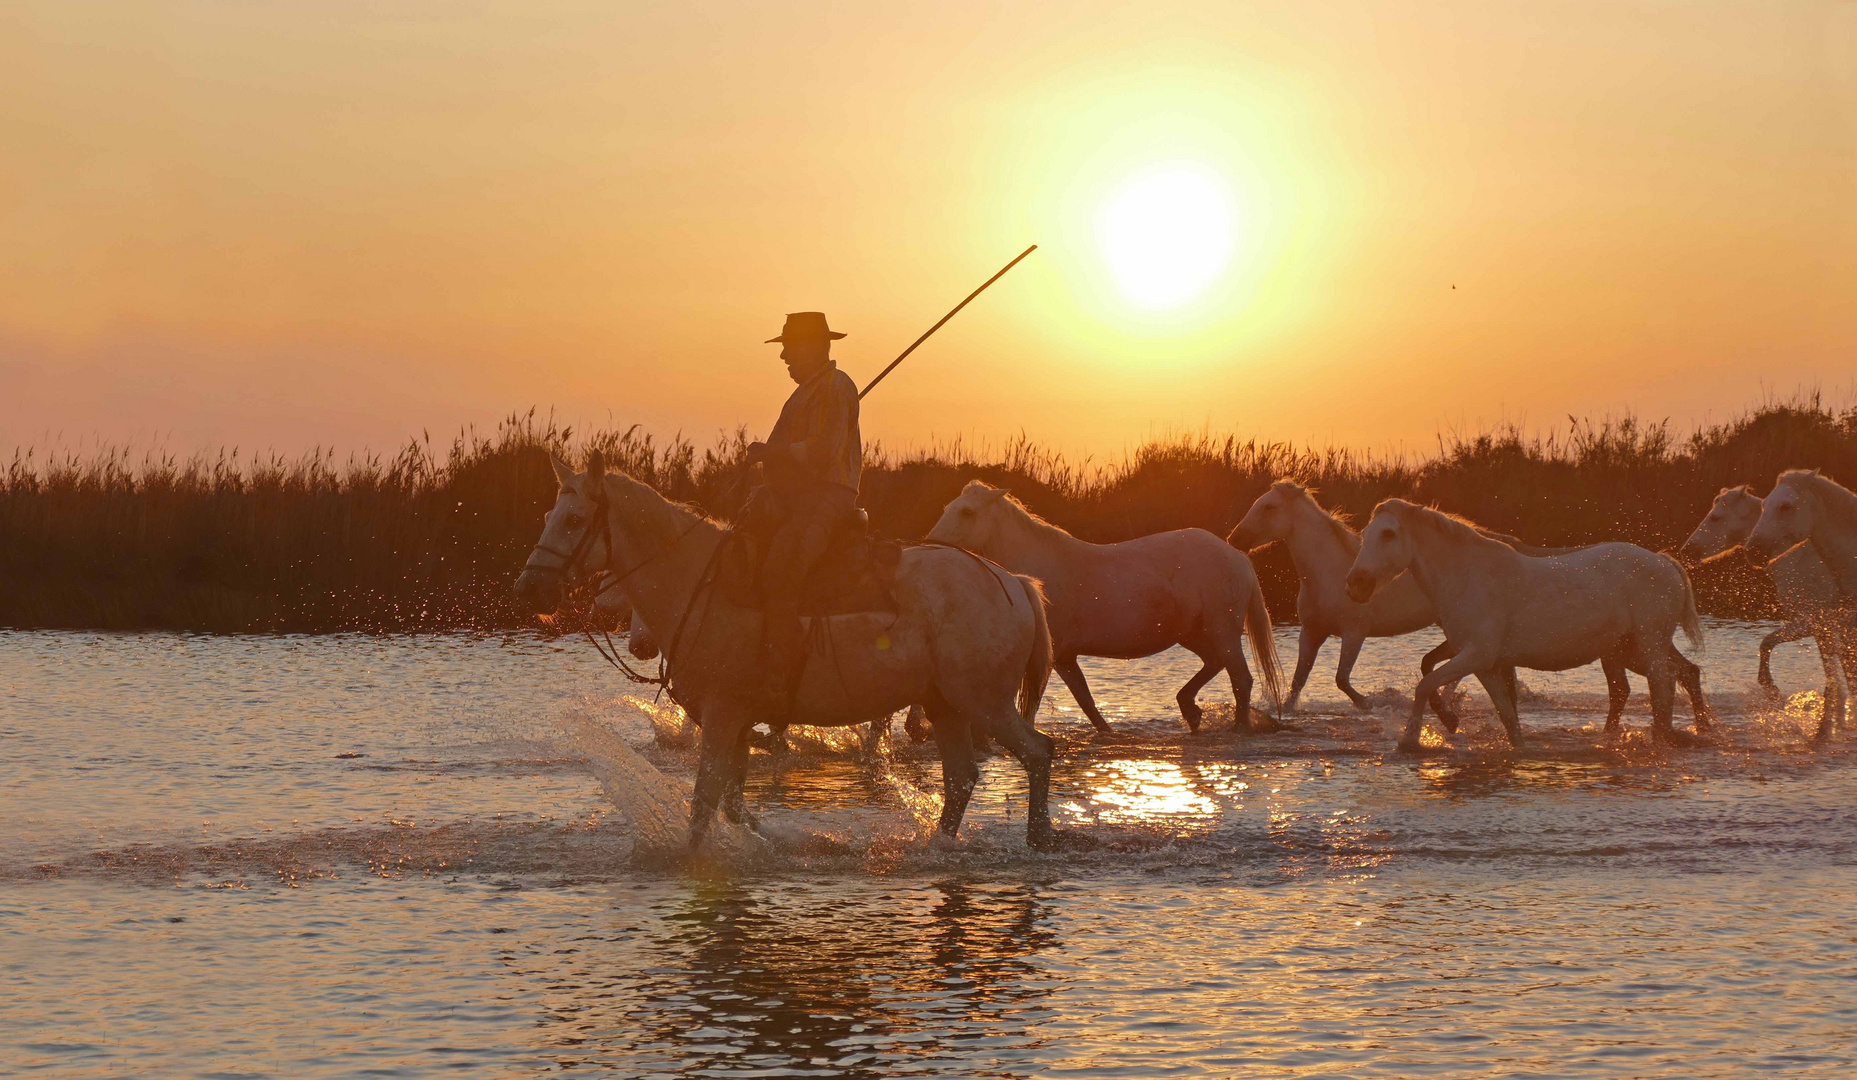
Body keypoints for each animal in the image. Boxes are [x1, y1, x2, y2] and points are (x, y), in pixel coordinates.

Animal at [519, 452, 1062, 849]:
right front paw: (769, 838)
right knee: (961, 778)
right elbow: (732, 803)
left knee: (1037, 753)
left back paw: (1038, 841)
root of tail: (1014, 582)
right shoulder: (734, 722)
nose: (529, 590)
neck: (701, 581)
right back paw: (937, 847)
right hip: (945, 703)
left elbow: (703, 803)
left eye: (574, 520)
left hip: (985, 702)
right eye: (546, 515)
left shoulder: (722, 713)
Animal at [924, 482, 1285, 734]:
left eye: (967, 512)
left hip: (1223, 631)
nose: (931, 545)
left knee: (1241, 679)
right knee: (1215, 664)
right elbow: (1086, 701)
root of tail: (1236, 554)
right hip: (1194, 634)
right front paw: (1108, 732)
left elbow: (1036, 703)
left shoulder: (1050, 655)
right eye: (948, 507)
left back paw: (1237, 728)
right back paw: (1190, 710)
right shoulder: (1065, 657)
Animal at [1337, 501, 1708, 753]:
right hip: (1627, 650)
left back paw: (1662, 740)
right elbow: (1506, 713)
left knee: (1664, 686)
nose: (1355, 584)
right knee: (1674, 678)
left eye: (1388, 534)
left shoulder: (1475, 655)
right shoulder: (1484, 663)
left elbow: (1425, 685)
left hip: (1647, 645)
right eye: (1366, 534)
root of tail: (1664, 562)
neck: (1467, 576)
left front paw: (1411, 740)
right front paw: (1518, 750)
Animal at [1678, 486, 1849, 716]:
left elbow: (1766, 642)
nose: (1687, 552)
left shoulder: (1811, 622)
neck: (1795, 559)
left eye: (1716, 517)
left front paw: (1770, 687)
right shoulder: (1822, 629)